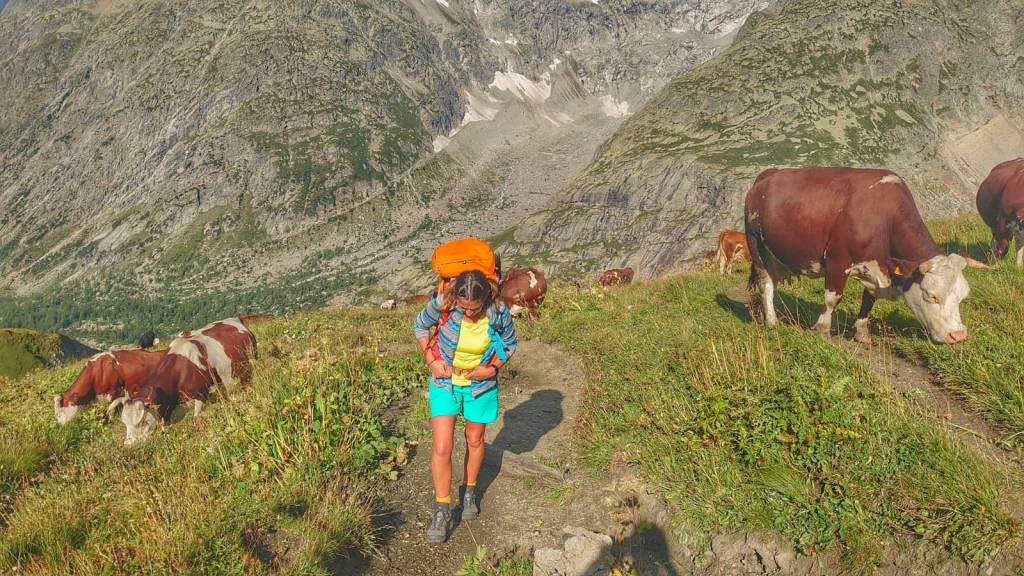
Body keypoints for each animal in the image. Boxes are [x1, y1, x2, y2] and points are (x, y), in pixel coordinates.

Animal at [113, 318, 257, 445]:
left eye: (142, 422)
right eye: (125, 422)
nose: (128, 445)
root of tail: (235, 319)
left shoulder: (200, 395)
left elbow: (195, 420)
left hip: (251, 364)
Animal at [745, 167, 971, 345]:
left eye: (963, 296)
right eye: (931, 295)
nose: (958, 336)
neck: (882, 219)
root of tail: (769, 174)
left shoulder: (875, 267)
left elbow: (868, 300)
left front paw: (862, 333)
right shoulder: (838, 262)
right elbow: (832, 299)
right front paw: (822, 330)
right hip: (756, 246)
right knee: (766, 284)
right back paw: (771, 321)